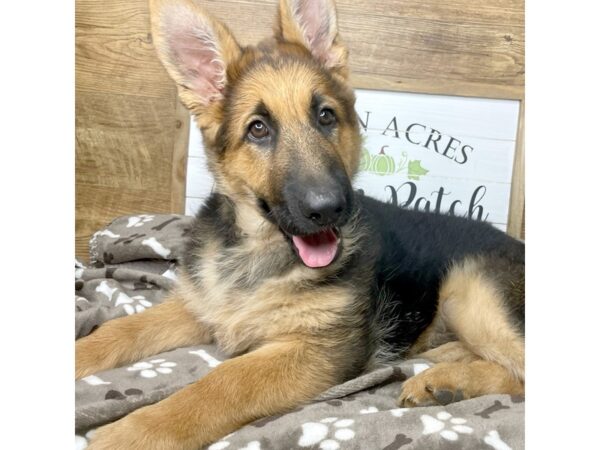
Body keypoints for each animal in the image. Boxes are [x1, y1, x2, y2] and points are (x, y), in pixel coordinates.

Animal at [76, 0, 524, 446]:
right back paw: (442, 372)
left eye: (326, 116)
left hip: (471, 290)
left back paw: (450, 380)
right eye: (258, 129)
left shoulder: (319, 349)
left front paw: (140, 429)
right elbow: (122, 329)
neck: (258, 251)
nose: (328, 209)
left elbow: (226, 380)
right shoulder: (202, 306)